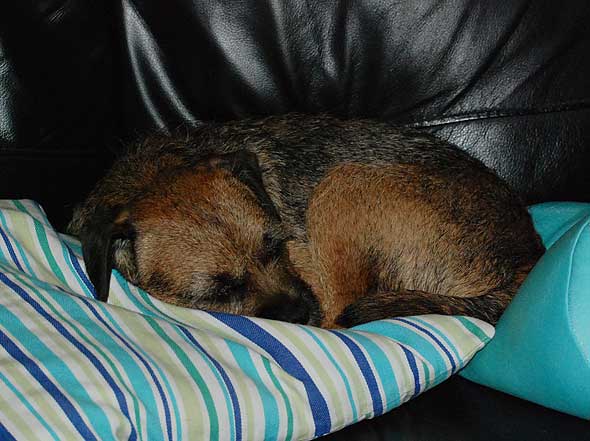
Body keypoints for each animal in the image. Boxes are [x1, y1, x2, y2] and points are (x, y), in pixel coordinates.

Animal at [68, 114, 545, 328]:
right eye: (219, 291)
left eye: (276, 244)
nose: (301, 313)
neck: (149, 177)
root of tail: (526, 258)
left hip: (345, 185)